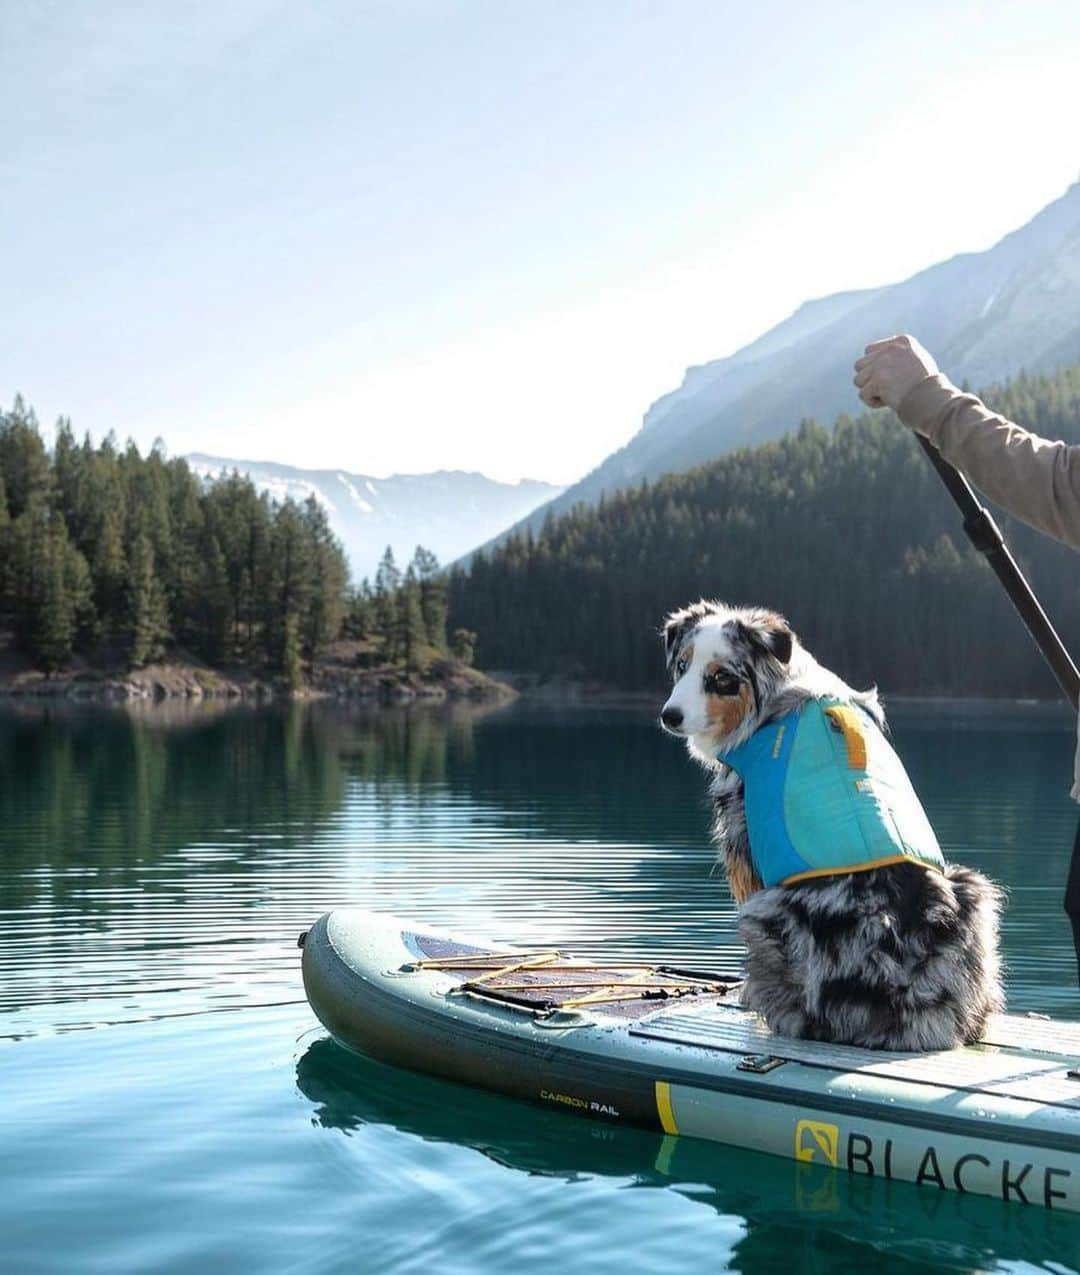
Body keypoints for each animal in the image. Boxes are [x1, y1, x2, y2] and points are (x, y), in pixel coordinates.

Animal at [657, 601, 1004, 1050]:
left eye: (722, 678)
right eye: (682, 665)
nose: (670, 716)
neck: (773, 696)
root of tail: (910, 999)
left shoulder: (743, 837)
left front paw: (746, 997)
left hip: (764, 915)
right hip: (972, 891)